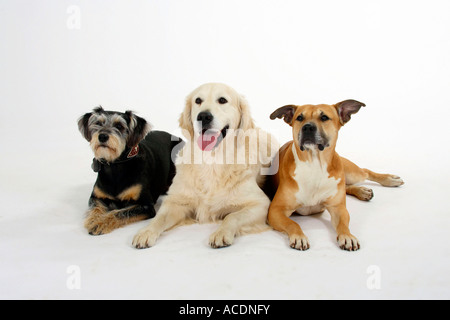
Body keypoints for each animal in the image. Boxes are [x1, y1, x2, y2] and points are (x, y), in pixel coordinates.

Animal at [268, 101, 404, 251]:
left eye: (324, 117)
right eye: (299, 118)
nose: (307, 127)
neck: (314, 164)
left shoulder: (338, 208)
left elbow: (343, 224)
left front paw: (347, 236)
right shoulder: (276, 210)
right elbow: (292, 223)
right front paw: (299, 237)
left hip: (351, 172)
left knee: (365, 172)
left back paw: (389, 180)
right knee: (348, 185)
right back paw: (363, 191)